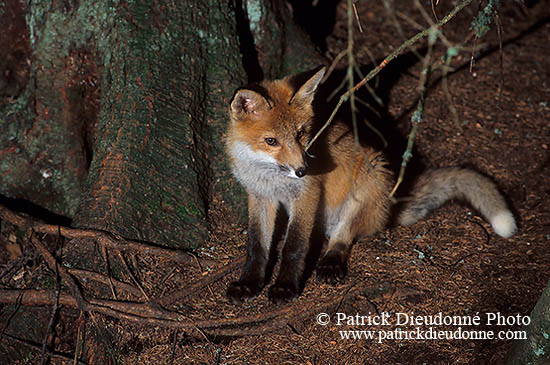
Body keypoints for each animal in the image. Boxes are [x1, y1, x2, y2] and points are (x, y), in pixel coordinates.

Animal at [224, 67, 516, 302]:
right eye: (271, 141)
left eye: (301, 134)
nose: (302, 170)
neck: (269, 175)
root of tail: (390, 207)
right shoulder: (259, 196)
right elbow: (257, 245)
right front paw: (249, 284)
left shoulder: (307, 194)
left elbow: (294, 247)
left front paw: (285, 288)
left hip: (370, 180)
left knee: (343, 237)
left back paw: (331, 263)